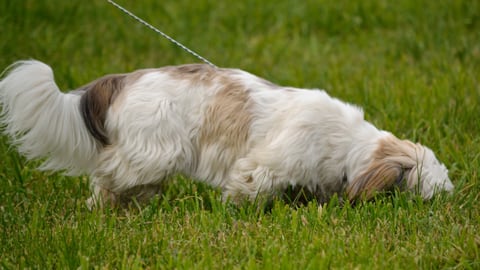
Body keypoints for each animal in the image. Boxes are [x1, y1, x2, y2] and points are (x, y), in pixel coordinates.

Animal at [0, 61, 454, 208]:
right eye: (421, 194)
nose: (442, 203)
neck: (347, 144)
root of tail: (125, 80)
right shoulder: (264, 165)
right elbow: (247, 188)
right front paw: (238, 212)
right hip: (153, 154)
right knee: (106, 177)